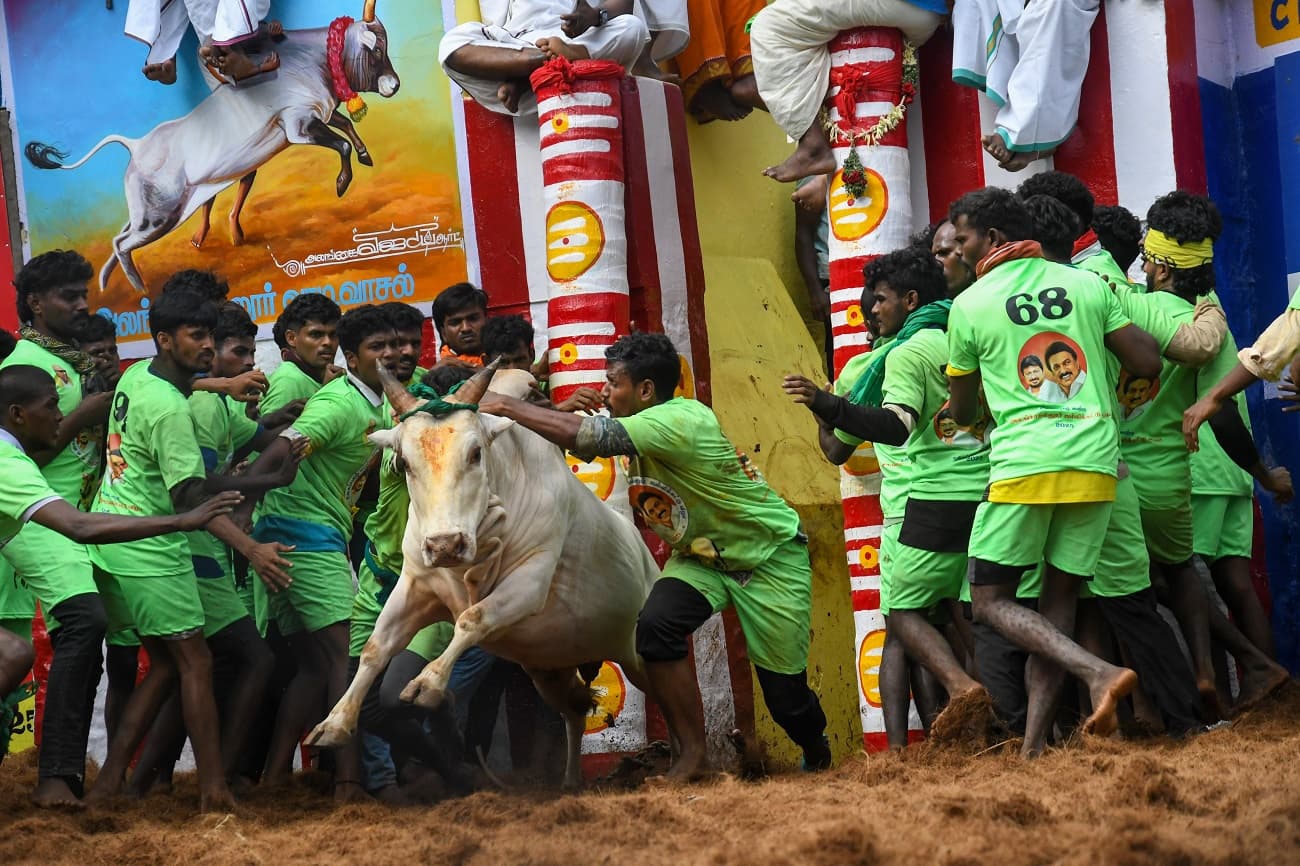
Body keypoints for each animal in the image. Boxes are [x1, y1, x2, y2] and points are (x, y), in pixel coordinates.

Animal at [309, 361, 660, 785]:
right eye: (404, 462)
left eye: (475, 453)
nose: (445, 544)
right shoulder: (415, 585)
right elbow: (376, 648)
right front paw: (334, 723)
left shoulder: (529, 583)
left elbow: (471, 619)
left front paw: (427, 683)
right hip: (548, 669)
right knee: (575, 714)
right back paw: (571, 781)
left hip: (637, 655)